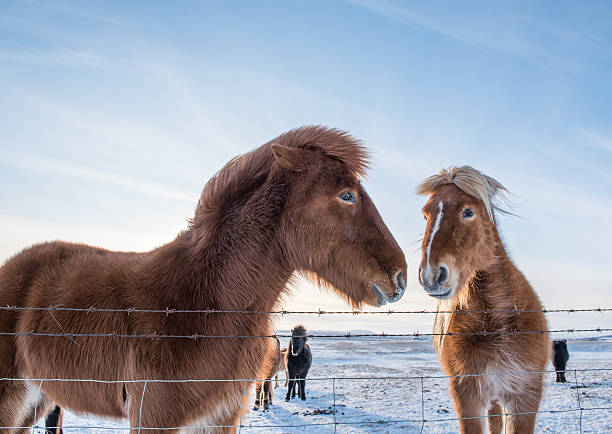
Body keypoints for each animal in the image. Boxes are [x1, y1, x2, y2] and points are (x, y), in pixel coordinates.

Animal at [0, 124, 406, 430]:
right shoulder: (155, 417)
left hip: (37, 399)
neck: (204, 299)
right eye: (347, 195)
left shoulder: (220, 416)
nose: (401, 277)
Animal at [416, 167, 548, 434]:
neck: (494, 323)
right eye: (426, 215)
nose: (432, 275)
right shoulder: (467, 397)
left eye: (468, 212)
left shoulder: (525, 397)